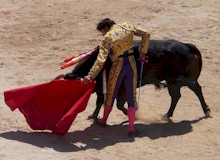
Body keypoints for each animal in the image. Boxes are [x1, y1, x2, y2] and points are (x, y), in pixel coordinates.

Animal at [62, 39, 211, 120]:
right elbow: (100, 102)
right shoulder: (102, 88)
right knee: (176, 96)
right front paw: (93, 116)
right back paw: (167, 115)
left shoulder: (119, 88)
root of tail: (187, 46)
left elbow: (118, 104)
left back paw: (206, 110)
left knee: (196, 88)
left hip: (181, 79)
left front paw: (134, 113)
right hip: (171, 81)